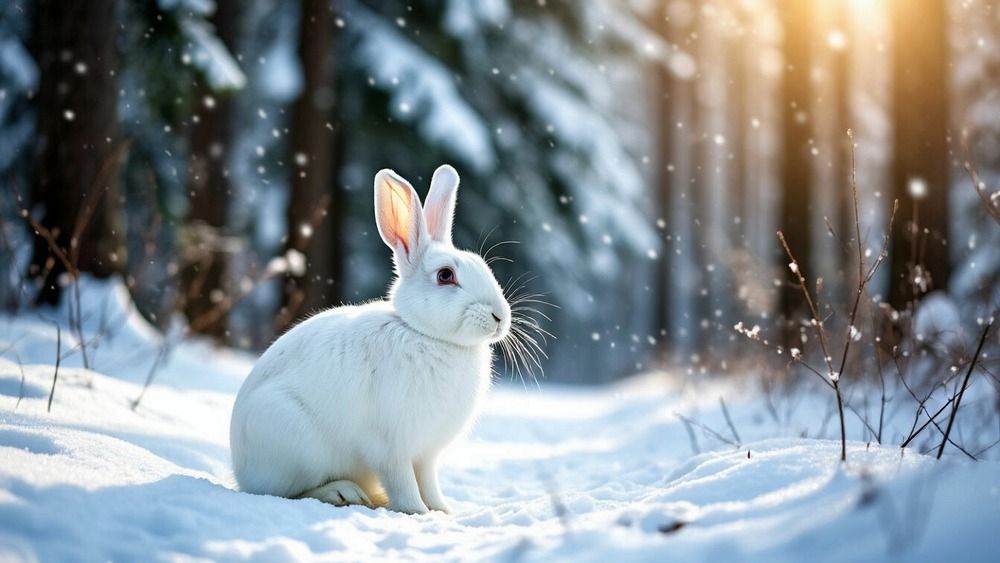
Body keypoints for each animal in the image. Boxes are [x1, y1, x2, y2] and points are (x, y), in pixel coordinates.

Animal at [229, 164, 511, 514]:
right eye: (446, 275)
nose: (500, 317)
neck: (422, 332)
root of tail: (239, 468)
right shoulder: (390, 447)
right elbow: (403, 482)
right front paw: (416, 512)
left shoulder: (426, 454)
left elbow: (428, 483)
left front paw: (442, 511)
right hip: (293, 441)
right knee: (291, 492)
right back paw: (343, 493)